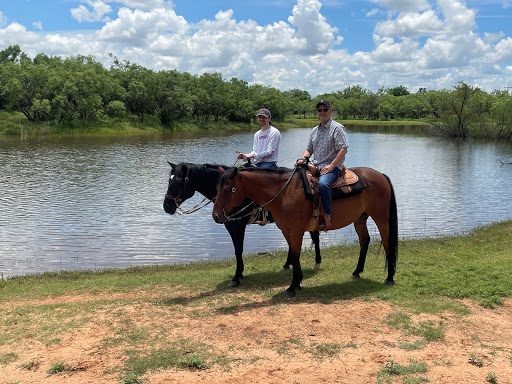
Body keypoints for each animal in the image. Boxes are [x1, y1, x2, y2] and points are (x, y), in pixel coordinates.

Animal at [164, 163, 322, 288]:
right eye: (168, 181)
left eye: (179, 181)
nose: (167, 206)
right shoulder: (230, 225)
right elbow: (236, 249)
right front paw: (239, 274)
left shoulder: (239, 225)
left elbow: (239, 249)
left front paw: (236, 276)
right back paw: (288, 264)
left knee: (314, 236)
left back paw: (317, 263)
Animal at [211, 166, 396, 298]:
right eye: (217, 188)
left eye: (229, 189)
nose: (216, 216)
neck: (284, 193)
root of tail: (381, 175)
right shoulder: (287, 231)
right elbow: (294, 256)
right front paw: (298, 283)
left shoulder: (296, 231)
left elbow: (294, 255)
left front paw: (292, 287)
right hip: (360, 218)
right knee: (365, 241)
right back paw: (356, 273)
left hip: (381, 218)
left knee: (388, 243)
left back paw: (389, 278)